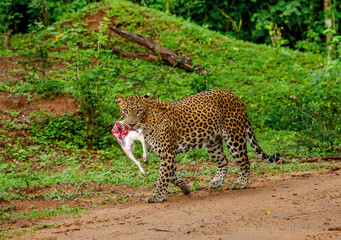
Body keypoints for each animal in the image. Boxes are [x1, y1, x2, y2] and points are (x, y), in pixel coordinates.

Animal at [114, 88, 278, 202]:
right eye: (125, 111)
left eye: (139, 111)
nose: (131, 124)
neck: (147, 120)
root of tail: (236, 97)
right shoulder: (168, 153)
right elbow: (171, 175)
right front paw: (186, 188)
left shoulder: (167, 153)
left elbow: (163, 176)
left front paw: (157, 196)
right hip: (212, 142)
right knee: (223, 161)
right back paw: (217, 182)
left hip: (234, 137)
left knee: (245, 161)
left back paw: (241, 183)